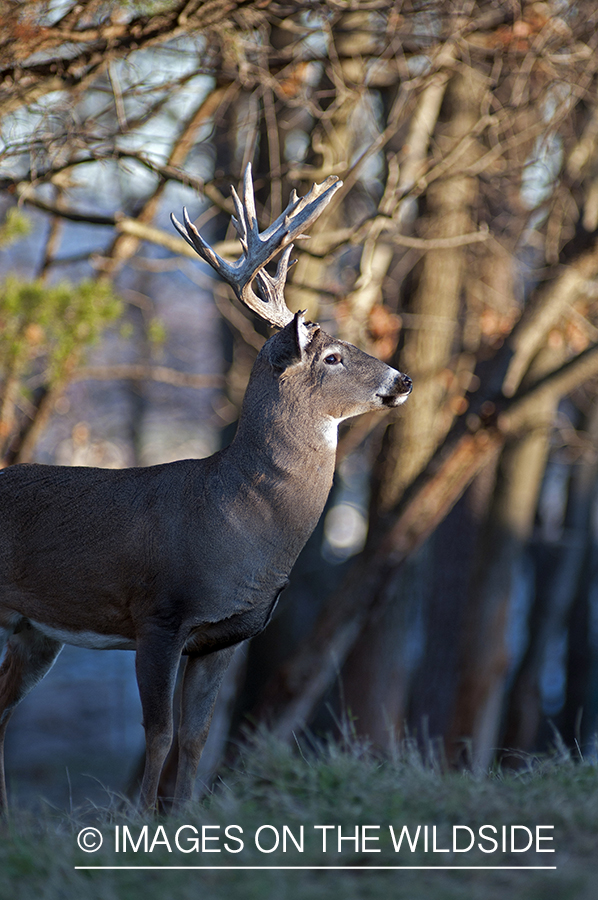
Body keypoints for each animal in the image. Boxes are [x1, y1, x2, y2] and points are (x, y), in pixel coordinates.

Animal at [0, 163, 412, 816]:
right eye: (332, 355)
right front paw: (139, 819)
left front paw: (187, 817)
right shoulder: (159, 613)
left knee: (2, 708)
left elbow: (195, 737)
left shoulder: (226, 636)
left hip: (33, 629)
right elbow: (159, 732)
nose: (404, 379)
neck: (234, 516)